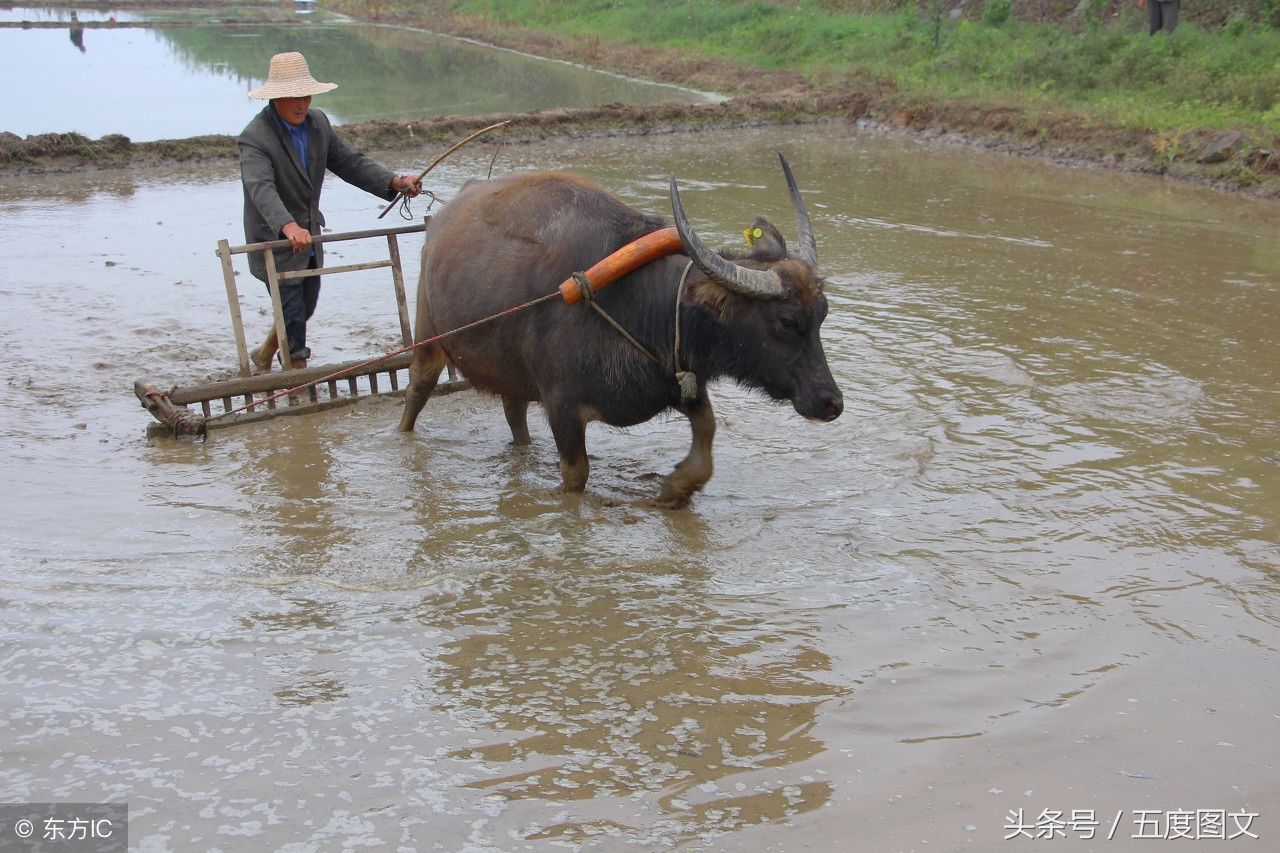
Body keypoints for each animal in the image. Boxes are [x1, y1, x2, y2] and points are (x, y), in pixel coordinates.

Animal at [399, 155, 839, 502]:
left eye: (822, 314)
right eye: (788, 321)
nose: (831, 403)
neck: (645, 305)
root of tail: (439, 223)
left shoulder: (674, 379)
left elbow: (708, 431)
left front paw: (676, 488)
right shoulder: (563, 408)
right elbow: (576, 476)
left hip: (511, 368)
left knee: (514, 411)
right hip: (427, 336)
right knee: (417, 391)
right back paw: (402, 435)